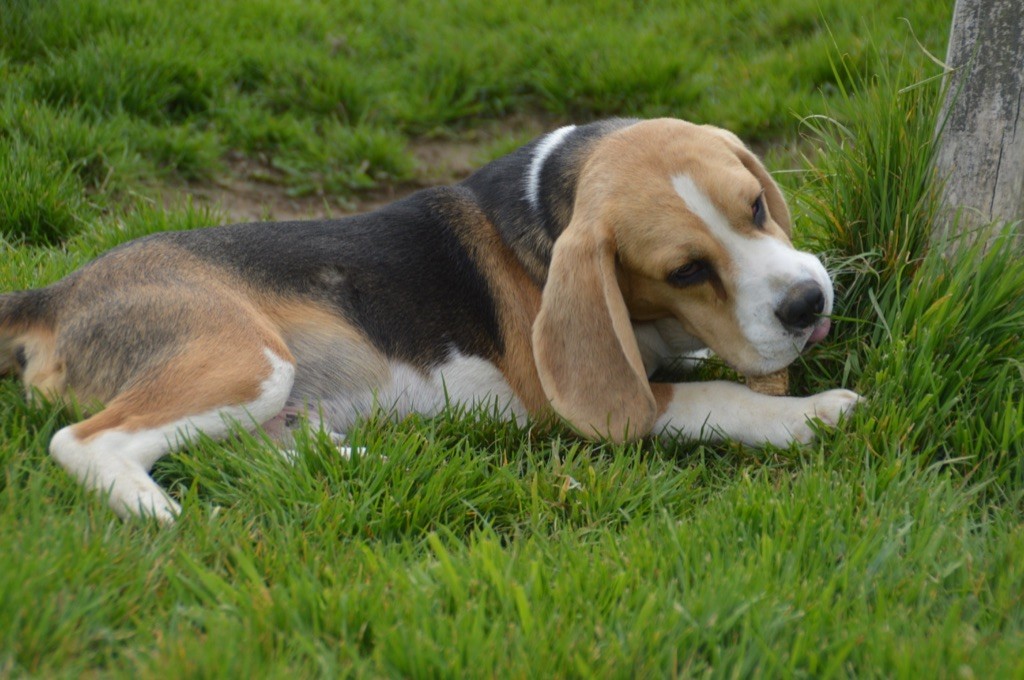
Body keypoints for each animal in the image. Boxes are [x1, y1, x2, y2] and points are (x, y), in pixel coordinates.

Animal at [0, 118, 860, 520]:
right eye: (685, 271)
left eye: (756, 207)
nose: (807, 304)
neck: (542, 201)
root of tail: (53, 294)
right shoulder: (575, 404)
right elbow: (716, 395)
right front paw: (812, 414)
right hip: (246, 358)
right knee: (83, 441)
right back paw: (159, 511)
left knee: (256, 449)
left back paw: (366, 461)